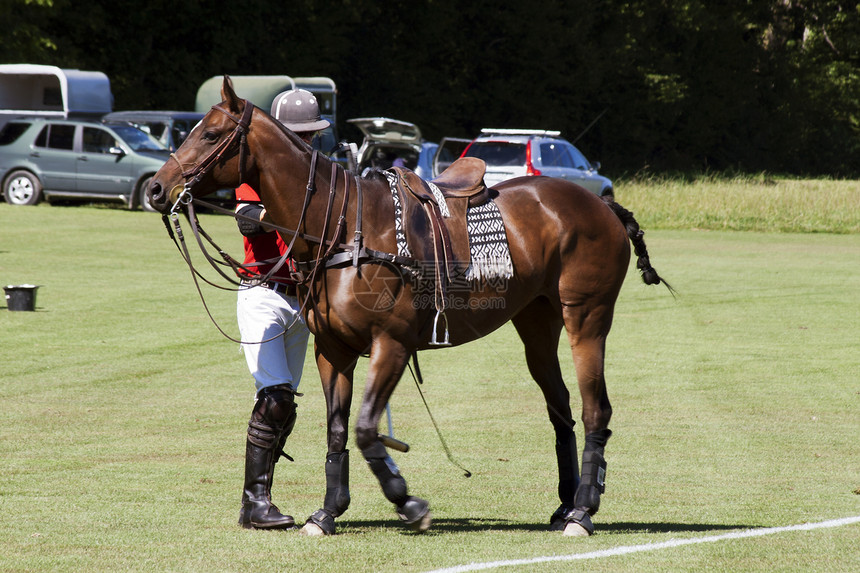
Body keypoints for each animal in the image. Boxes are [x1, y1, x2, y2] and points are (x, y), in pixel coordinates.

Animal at [149, 76, 672, 536]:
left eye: (210, 133)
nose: (155, 189)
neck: (341, 228)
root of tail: (603, 204)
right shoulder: (333, 350)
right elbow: (337, 430)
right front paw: (327, 512)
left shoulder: (392, 344)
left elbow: (364, 428)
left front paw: (408, 502)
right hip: (536, 323)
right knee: (560, 406)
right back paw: (565, 505)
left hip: (586, 317)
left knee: (595, 408)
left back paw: (583, 512)